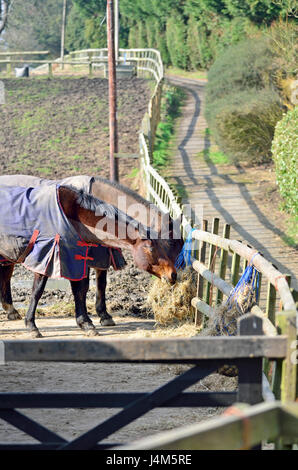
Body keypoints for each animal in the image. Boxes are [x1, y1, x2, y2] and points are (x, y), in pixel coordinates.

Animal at [0, 174, 184, 324]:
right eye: (168, 244)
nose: (174, 275)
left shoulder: (101, 254)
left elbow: (101, 284)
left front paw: (104, 316)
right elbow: (84, 286)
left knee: (6, 275)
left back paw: (11, 310)